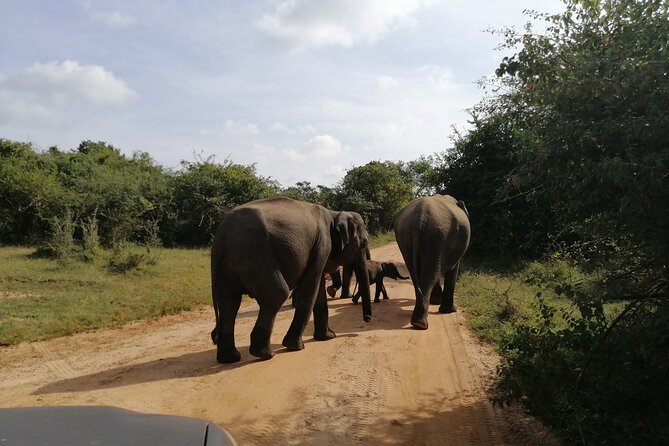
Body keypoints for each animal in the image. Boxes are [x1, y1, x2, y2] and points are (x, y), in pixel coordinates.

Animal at [210, 196, 373, 363]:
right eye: (364, 243)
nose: (367, 319)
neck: (333, 213)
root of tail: (221, 235)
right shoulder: (322, 245)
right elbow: (310, 287)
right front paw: (296, 347)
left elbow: (318, 288)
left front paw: (328, 337)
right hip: (255, 255)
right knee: (277, 294)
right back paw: (265, 354)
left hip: (229, 265)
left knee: (229, 303)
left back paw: (230, 358)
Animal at [393, 194, 471, 330]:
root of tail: (418, 218)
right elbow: (453, 269)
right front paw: (449, 310)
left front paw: (436, 301)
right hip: (437, 235)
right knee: (430, 274)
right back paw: (421, 324)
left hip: (405, 237)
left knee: (416, 272)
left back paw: (418, 320)